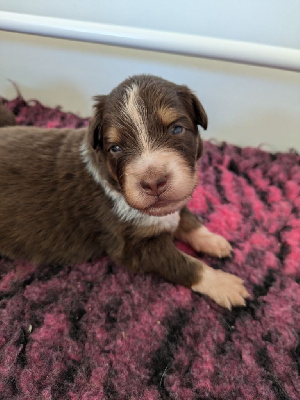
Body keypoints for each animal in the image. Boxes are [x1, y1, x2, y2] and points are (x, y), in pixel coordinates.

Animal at [0, 76, 248, 310]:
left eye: (177, 129)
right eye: (115, 148)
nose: (153, 183)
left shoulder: (175, 203)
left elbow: (187, 219)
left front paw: (214, 241)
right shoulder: (133, 247)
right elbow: (183, 263)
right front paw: (225, 284)